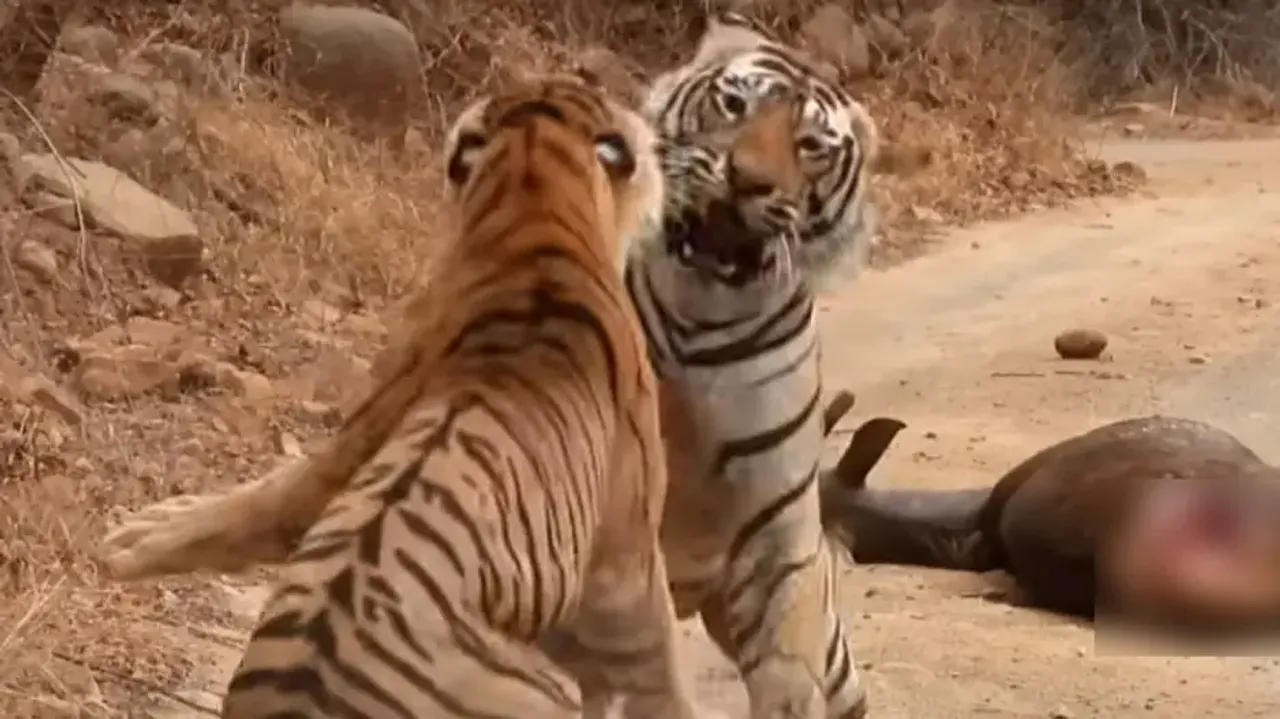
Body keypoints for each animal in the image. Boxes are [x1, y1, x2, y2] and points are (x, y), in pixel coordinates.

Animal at [99, 74, 705, 719]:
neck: (534, 200)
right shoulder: (629, 565)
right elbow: (657, 668)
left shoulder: (358, 438)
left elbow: (270, 498)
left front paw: (140, 533)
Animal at [621, 10, 927, 719]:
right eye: (734, 105)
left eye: (810, 145)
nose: (746, 179)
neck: (695, 316)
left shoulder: (777, 534)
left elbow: (787, 670)